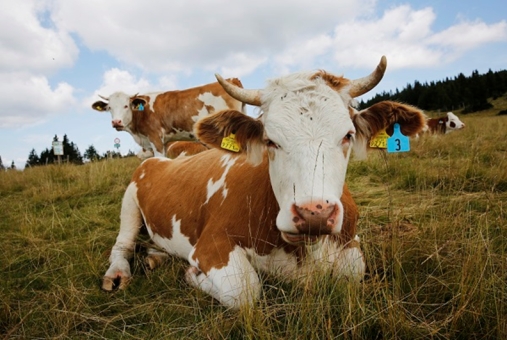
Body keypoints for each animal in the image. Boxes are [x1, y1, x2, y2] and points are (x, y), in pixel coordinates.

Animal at [92, 79, 247, 159]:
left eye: (126, 105)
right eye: (109, 108)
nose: (116, 122)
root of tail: (231, 80)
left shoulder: (155, 138)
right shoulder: (164, 142)